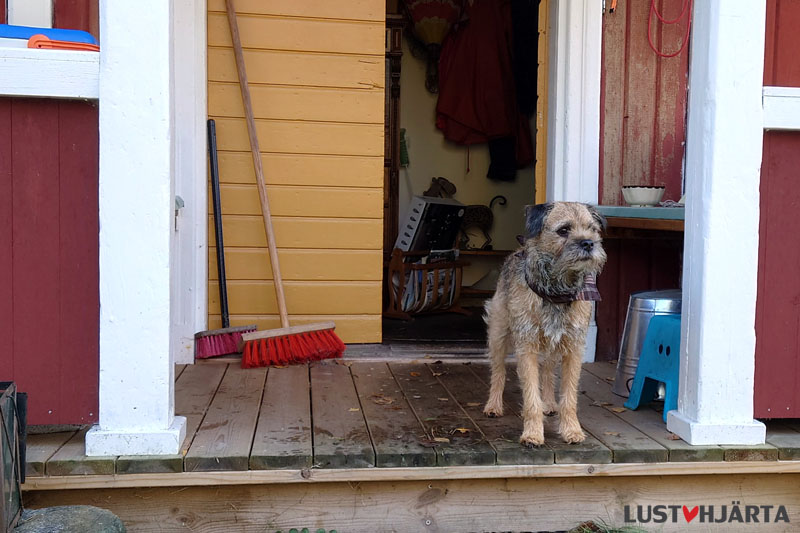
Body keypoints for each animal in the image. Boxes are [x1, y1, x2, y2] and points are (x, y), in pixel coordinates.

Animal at [482, 202, 608, 446]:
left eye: (592, 229)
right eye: (563, 230)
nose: (588, 243)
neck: (557, 291)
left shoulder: (573, 349)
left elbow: (569, 396)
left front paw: (571, 430)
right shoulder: (527, 347)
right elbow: (531, 396)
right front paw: (532, 434)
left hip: (552, 346)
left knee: (548, 372)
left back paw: (549, 404)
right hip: (499, 334)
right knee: (498, 371)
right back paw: (493, 405)